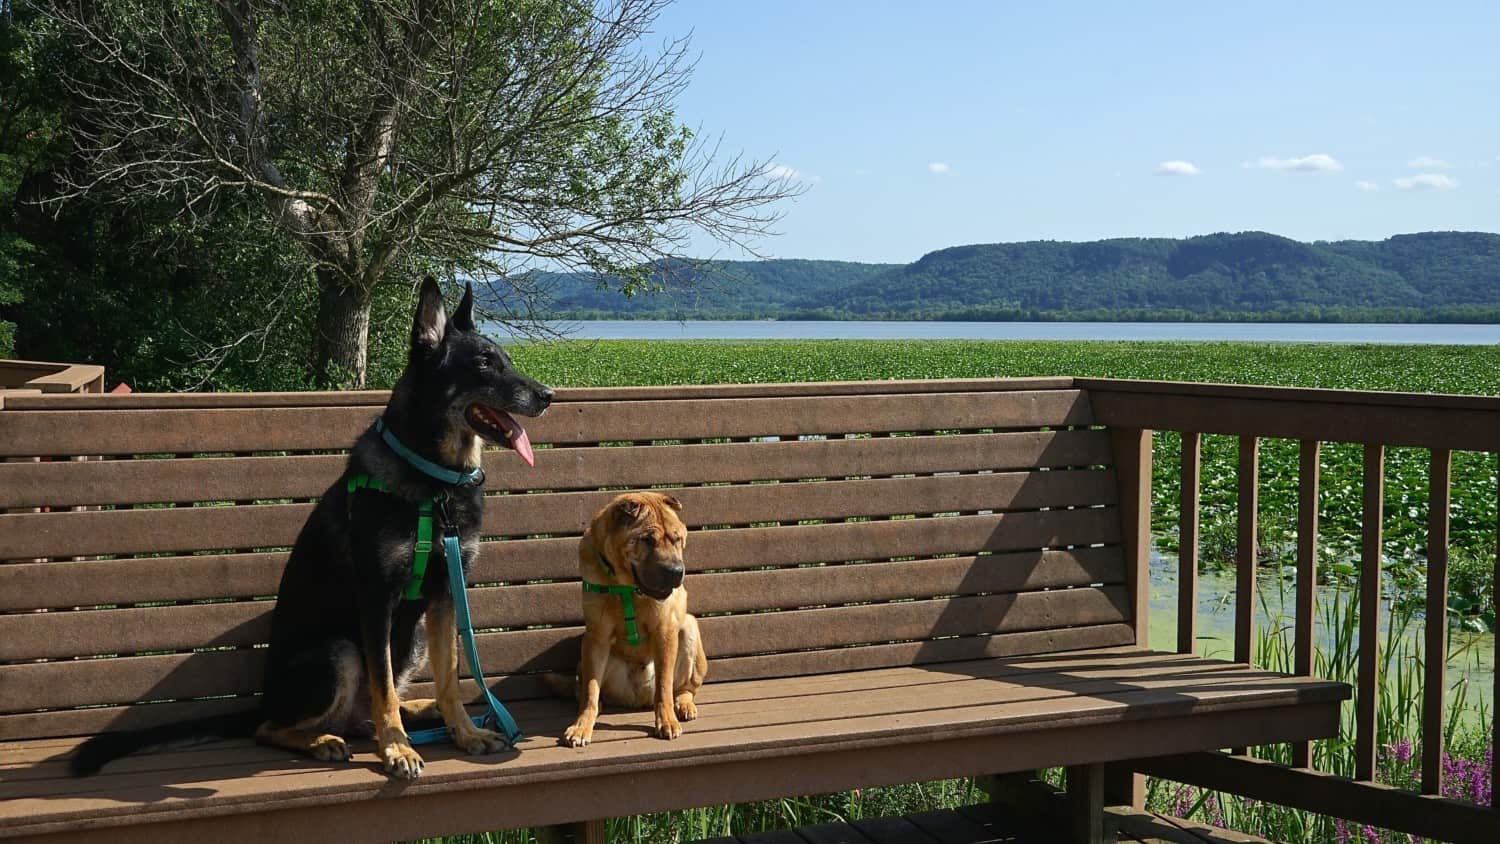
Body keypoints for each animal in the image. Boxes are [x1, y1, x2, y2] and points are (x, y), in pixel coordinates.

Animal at [73, 277, 555, 779]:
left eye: (506, 359)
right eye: (483, 364)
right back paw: (330, 738)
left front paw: (463, 730)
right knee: (276, 726)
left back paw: (423, 713)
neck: (433, 482)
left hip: (414, 637)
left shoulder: (444, 597)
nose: (548, 396)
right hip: (338, 652)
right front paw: (398, 749)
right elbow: (384, 688)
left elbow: (449, 678)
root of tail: (263, 701)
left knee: (368, 710)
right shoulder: (376, 600)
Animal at [564, 488, 708, 746]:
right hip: (588, 655)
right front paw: (581, 726)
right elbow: (591, 689)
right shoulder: (596, 637)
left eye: (677, 539)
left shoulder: (665, 630)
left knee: (683, 687)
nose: (676, 572)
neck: (625, 587)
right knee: (586, 687)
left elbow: (664, 686)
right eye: (647, 540)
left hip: (689, 628)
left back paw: (684, 705)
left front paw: (667, 721)